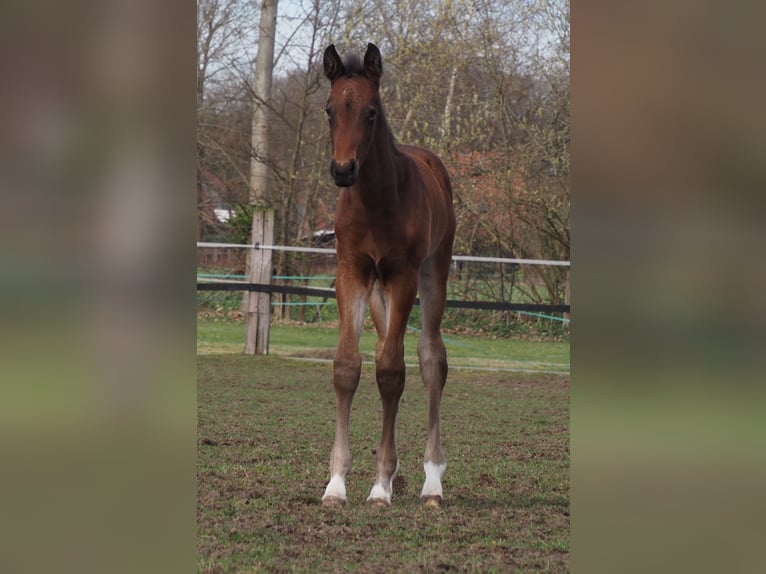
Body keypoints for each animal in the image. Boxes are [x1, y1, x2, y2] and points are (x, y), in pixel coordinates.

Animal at [320, 42, 456, 508]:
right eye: (329, 110)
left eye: (371, 111)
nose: (343, 170)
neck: (376, 203)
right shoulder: (351, 273)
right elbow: (348, 366)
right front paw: (336, 484)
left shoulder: (403, 276)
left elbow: (393, 372)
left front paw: (380, 486)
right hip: (378, 291)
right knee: (382, 348)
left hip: (433, 273)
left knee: (431, 358)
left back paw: (431, 480)